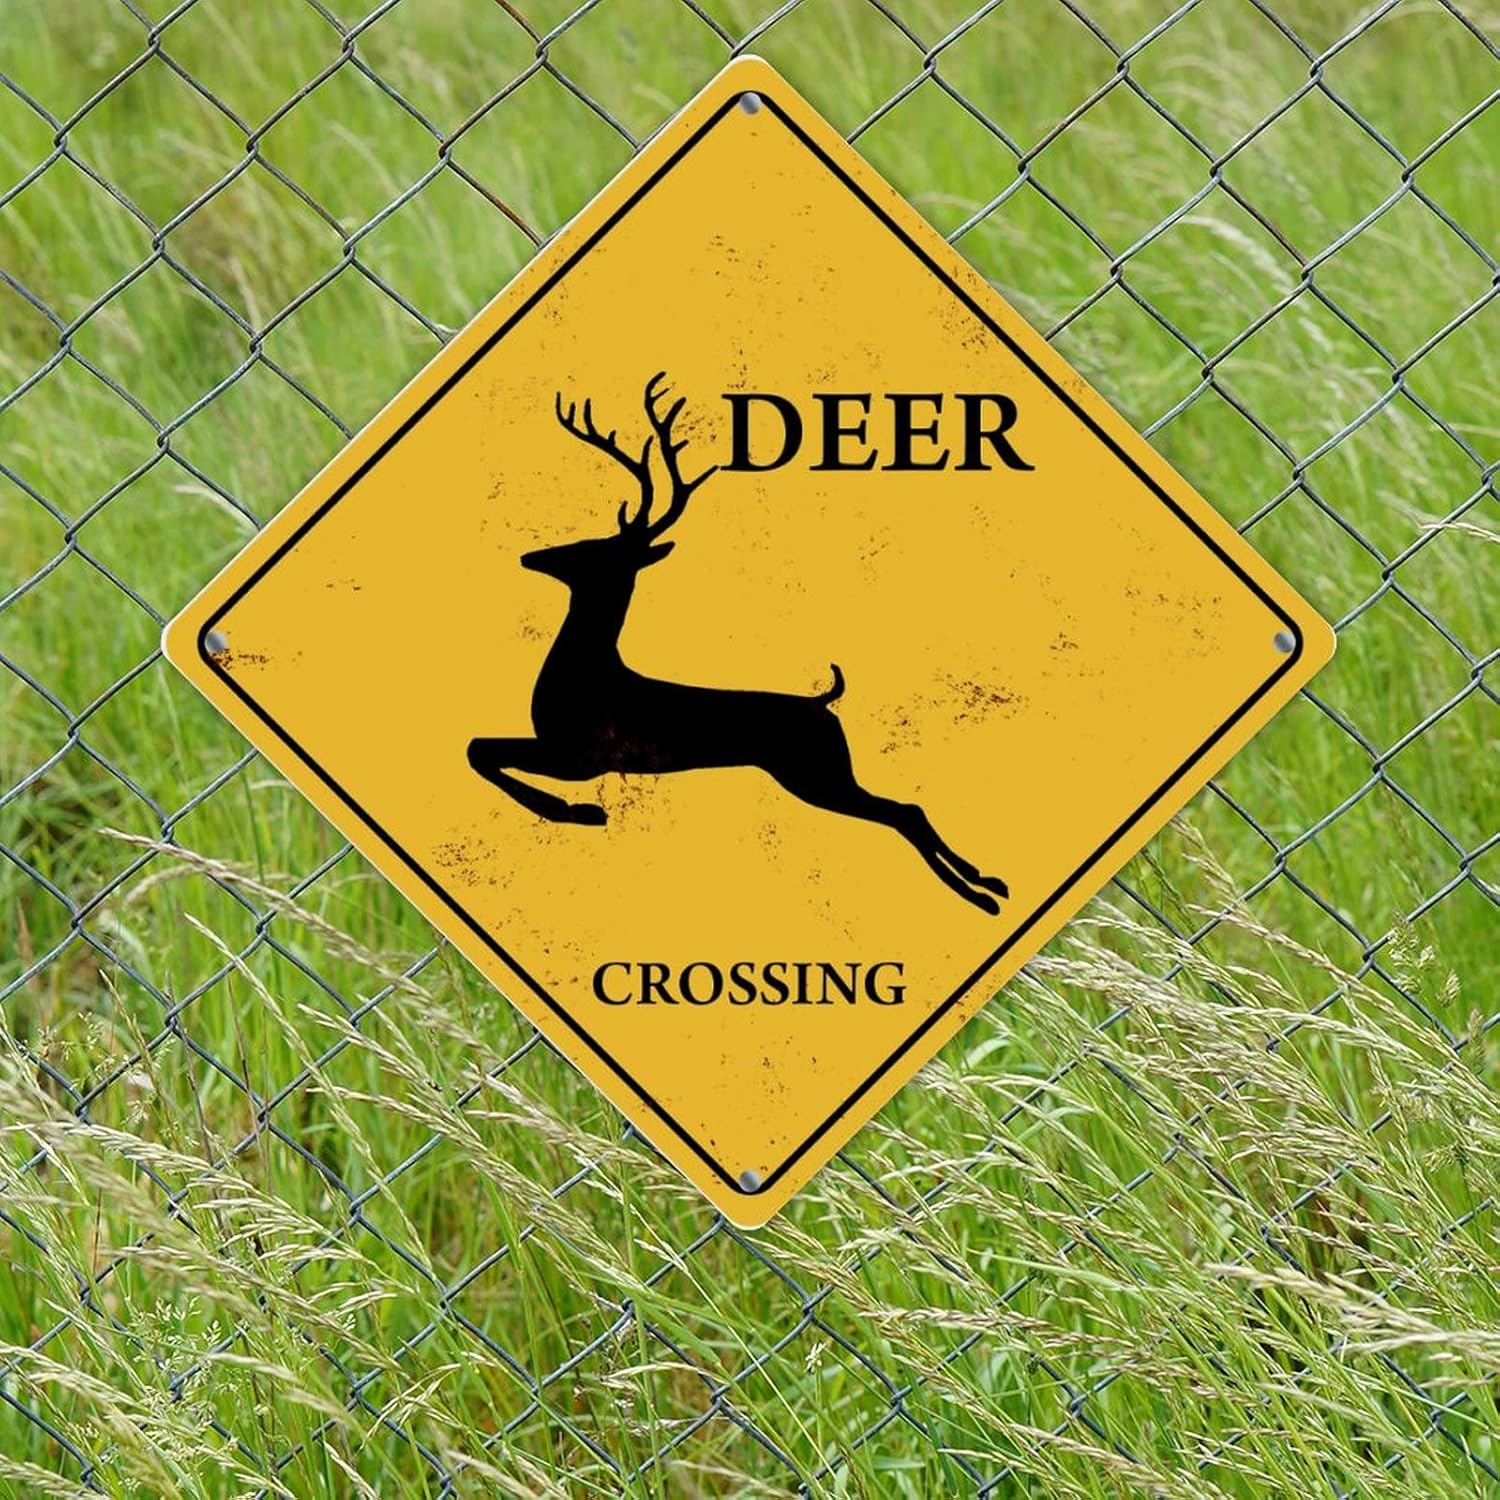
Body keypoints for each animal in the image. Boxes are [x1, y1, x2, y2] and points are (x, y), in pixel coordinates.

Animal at [466, 372, 1009, 915]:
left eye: (593, 548)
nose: (533, 556)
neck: (585, 671)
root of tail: (823, 702)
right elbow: (480, 749)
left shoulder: (582, 756)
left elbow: (480, 751)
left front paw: (583, 812)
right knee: (905, 810)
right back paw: (989, 885)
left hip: (817, 774)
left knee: (905, 811)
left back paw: (983, 894)